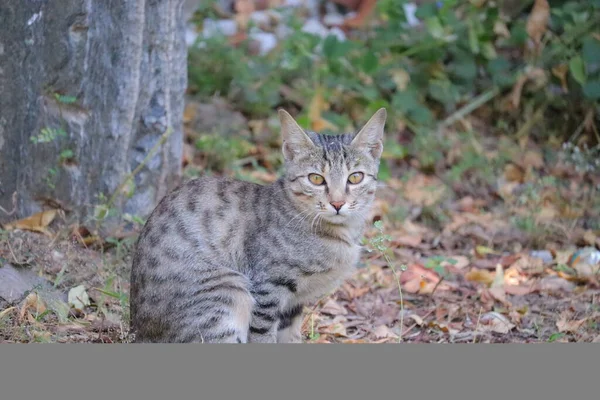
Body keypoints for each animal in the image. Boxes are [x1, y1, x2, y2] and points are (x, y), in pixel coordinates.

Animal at [129, 108, 386, 342]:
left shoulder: (294, 304)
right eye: (315, 179)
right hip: (226, 294)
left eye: (355, 177)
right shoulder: (268, 288)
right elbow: (263, 336)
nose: (337, 203)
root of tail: (136, 332)